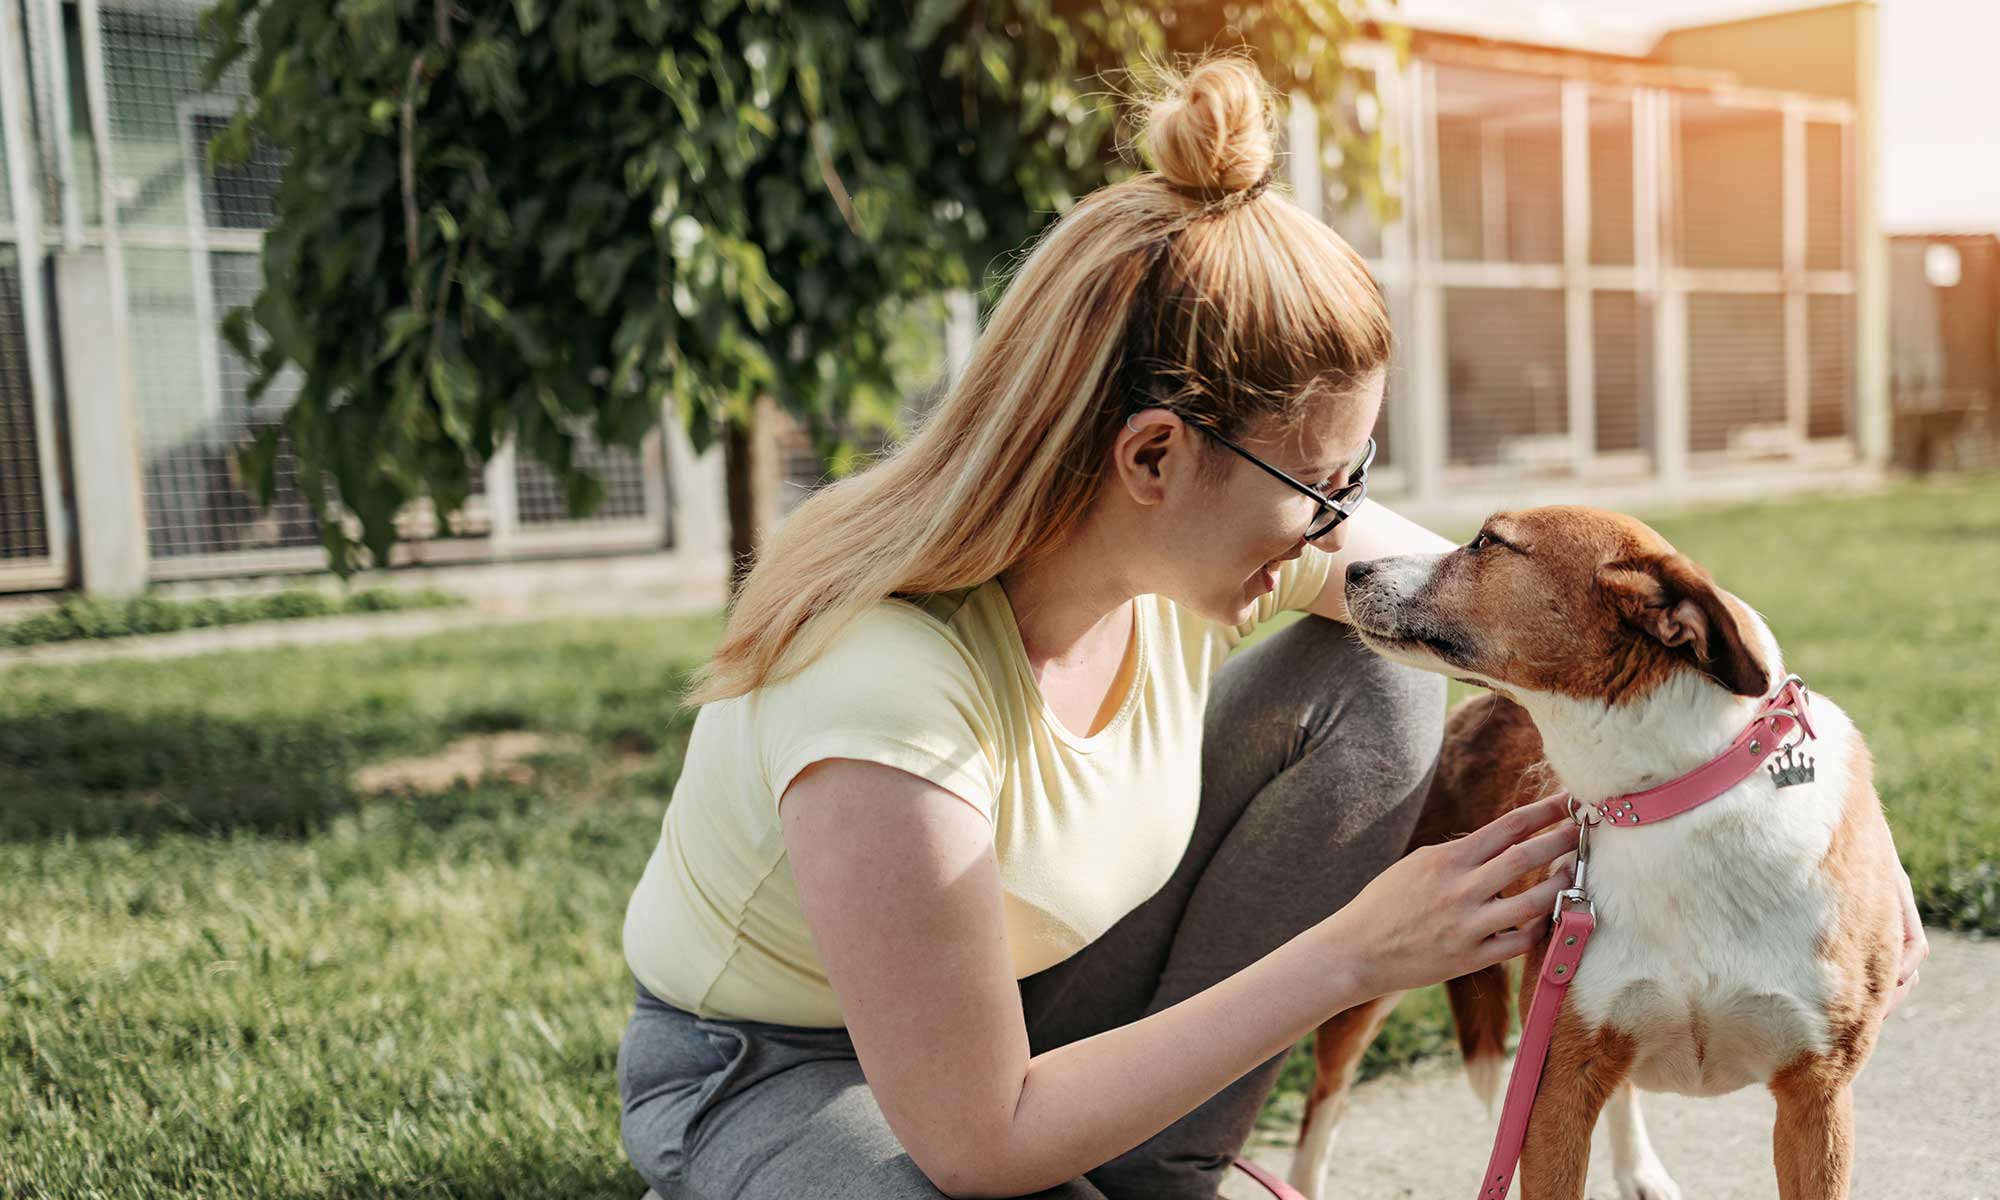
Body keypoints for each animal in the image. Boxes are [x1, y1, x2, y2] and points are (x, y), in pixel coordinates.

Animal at [1288, 506, 1896, 1200]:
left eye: (1488, 542)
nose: (1353, 567)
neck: (1667, 800)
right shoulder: (1554, 1087)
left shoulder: (1815, 1096)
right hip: (1368, 974)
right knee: (1325, 1098)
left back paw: (1640, 1171)